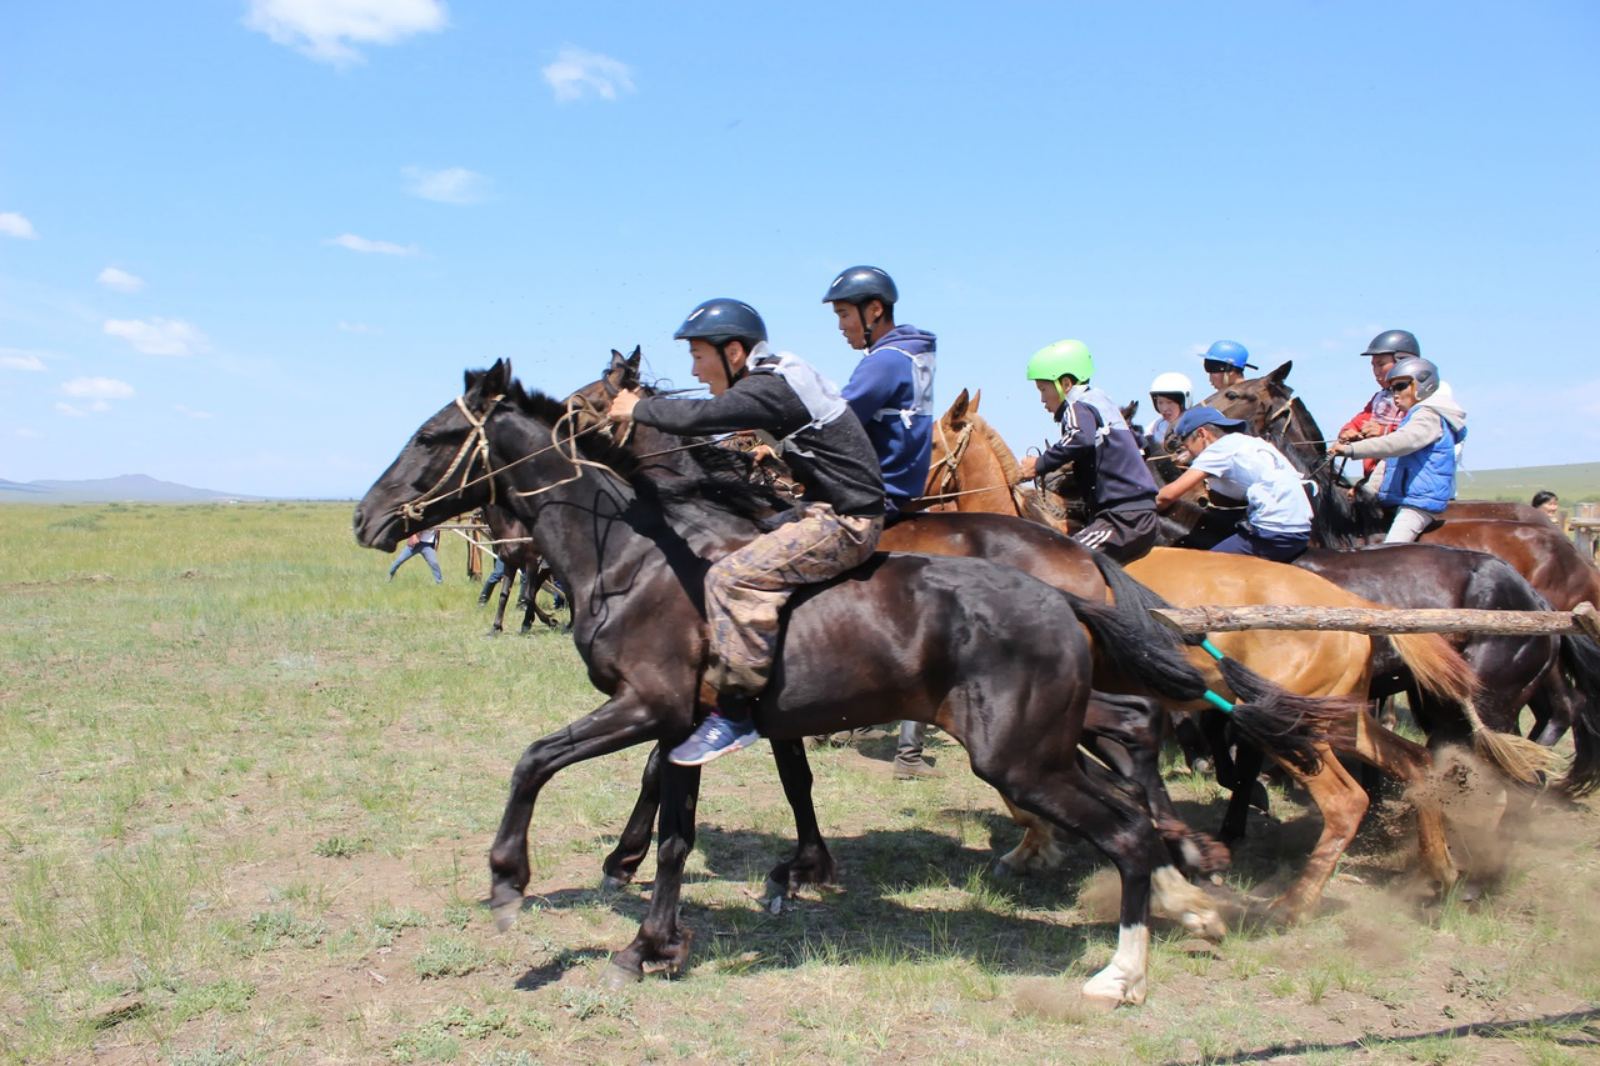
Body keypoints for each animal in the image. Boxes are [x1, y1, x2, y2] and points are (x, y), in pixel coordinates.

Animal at [356, 361, 1318, 998]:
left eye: (435, 436)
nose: (368, 519)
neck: (638, 558)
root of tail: (1065, 579)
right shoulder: (691, 725)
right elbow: (679, 831)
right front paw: (658, 938)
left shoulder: (649, 708)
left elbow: (536, 761)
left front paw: (510, 881)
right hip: (1049, 735)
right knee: (1135, 759)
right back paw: (1181, 883)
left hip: (1020, 756)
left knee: (1125, 823)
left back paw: (1126, 965)